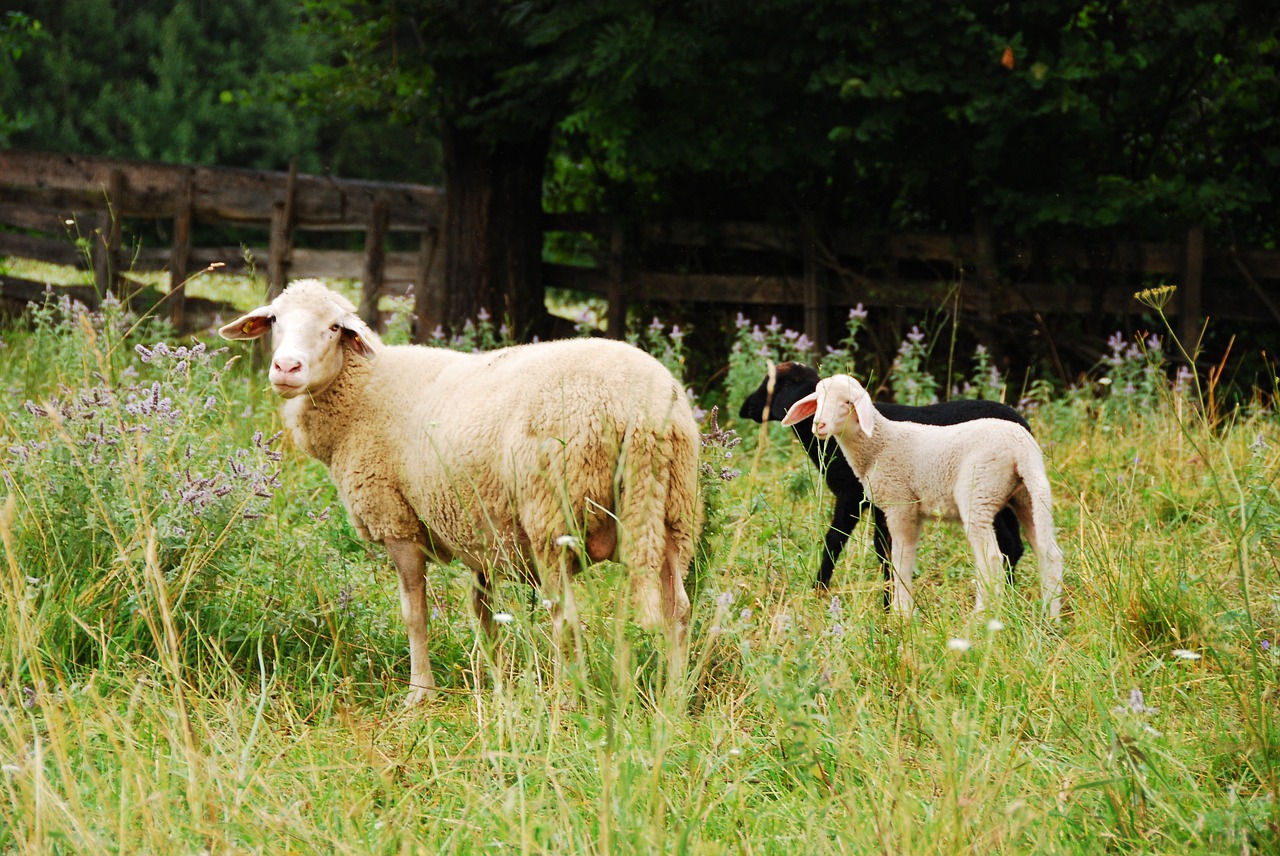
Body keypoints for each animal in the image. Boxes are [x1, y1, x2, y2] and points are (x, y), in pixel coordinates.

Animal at [220, 280, 701, 701]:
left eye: (336, 327)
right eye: (275, 319)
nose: (286, 368)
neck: (362, 392)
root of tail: (644, 411)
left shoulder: (396, 519)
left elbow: (415, 614)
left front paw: (420, 693)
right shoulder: (479, 529)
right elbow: (483, 612)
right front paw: (495, 681)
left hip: (554, 512)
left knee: (565, 616)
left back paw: (567, 699)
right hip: (671, 512)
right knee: (677, 610)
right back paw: (673, 698)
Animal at [737, 360, 1024, 601]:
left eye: (784, 384)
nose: (746, 408)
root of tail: (1022, 424)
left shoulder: (852, 496)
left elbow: (838, 540)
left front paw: (820, 590)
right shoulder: (876, 501)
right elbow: (882, 549)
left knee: (1007, 545)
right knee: (1017, 545)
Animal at [778, 371, 1059, 616]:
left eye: (847, 402)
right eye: (818, 399)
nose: (819, 424)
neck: (879, 444)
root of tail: (1021, 447)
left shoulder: (899, 504)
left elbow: (898, 558)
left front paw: (900, 613)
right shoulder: (910, 511)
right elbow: (901, 555)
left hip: (979, 493)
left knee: (991, 557)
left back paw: (980, 617)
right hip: (1025, 495)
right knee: (1049, 553)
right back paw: (1049, 616)